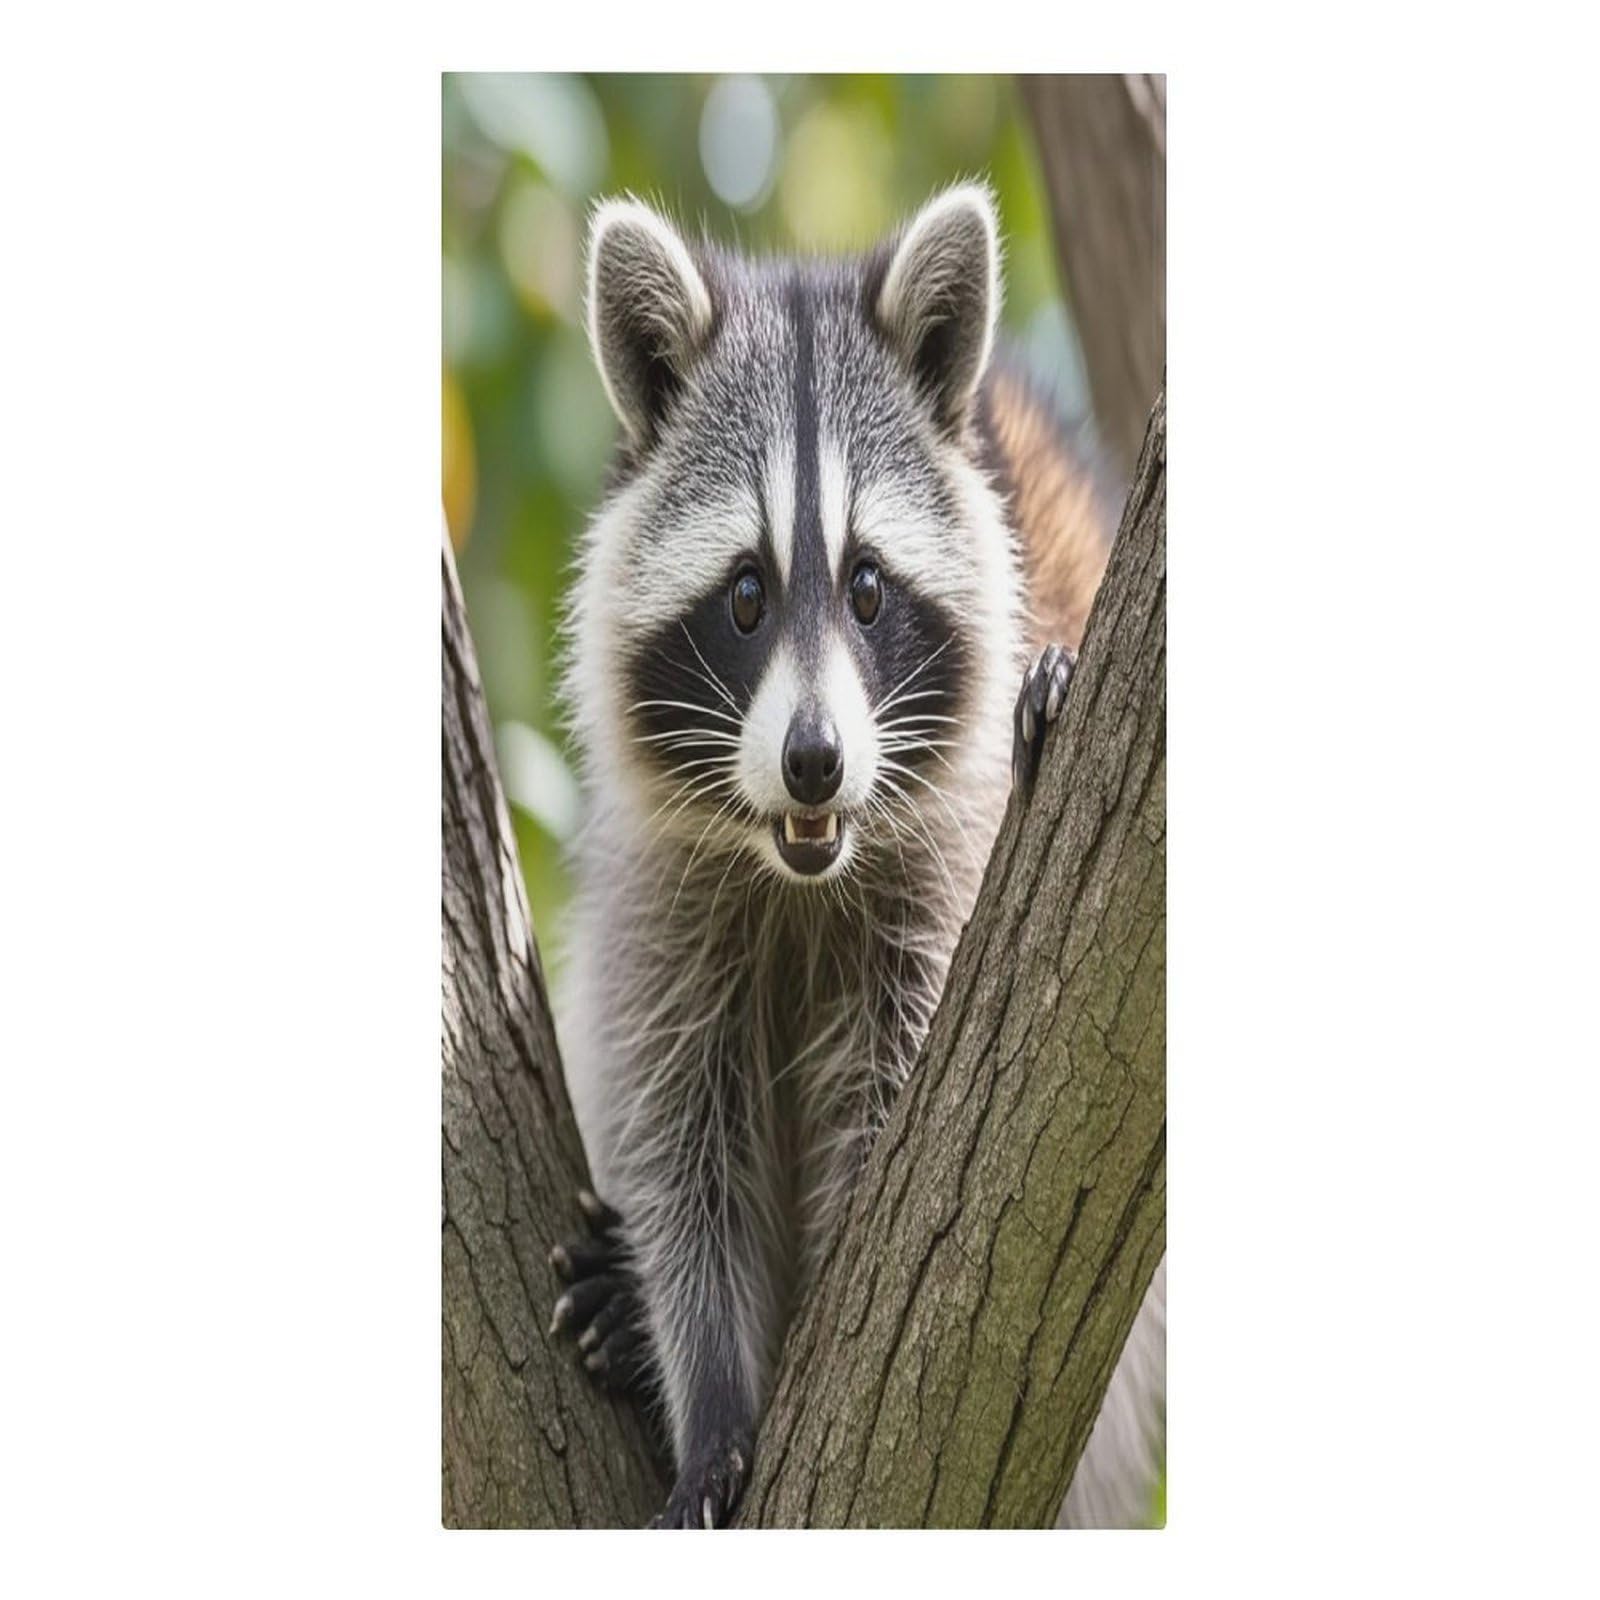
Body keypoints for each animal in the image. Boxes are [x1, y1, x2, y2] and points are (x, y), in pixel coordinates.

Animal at [548, 183, 1164, 1528]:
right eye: (744, 596)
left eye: (869, 587)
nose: (815, 762)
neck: (800, 876)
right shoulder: (666, 895)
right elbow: (679, 1138)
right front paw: (709, 1397)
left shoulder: (947, 871)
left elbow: (895, 1096)